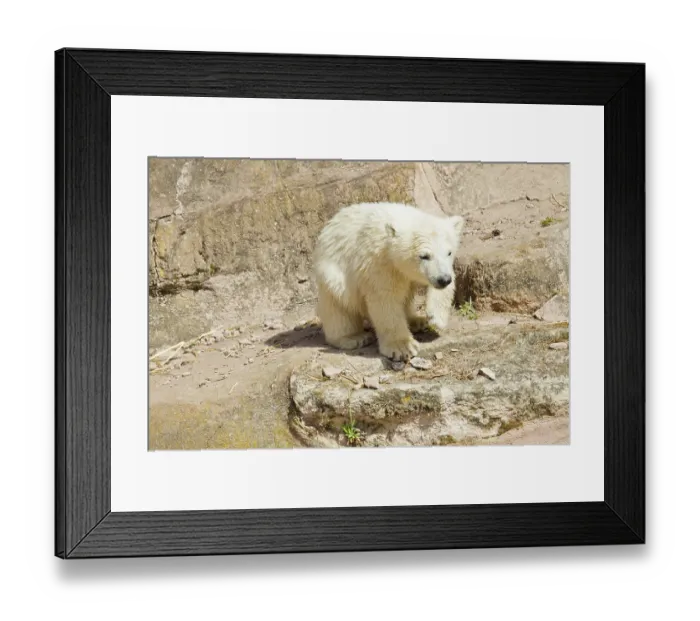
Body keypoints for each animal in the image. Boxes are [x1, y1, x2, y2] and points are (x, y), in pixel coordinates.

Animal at [312, 202, 465, 361]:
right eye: (424, 256)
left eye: (449, 252)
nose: (443, 279)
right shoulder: (379, 262)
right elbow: (386, 299)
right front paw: (403, 347)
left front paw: (436, 317)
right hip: (333, 276)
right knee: (338, 307)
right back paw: (354, 337)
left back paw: (416, 321)